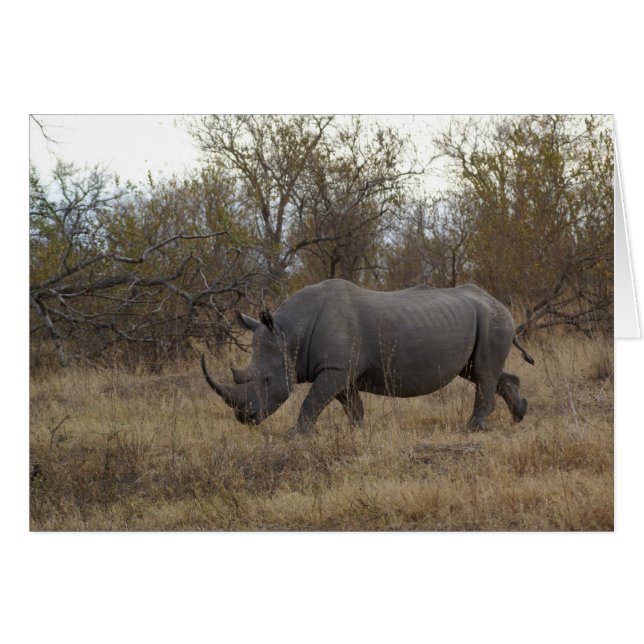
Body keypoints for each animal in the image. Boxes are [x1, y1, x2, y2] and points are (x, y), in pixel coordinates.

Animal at [201, 279, 534, 434]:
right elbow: (351, 405)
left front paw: (295, 436)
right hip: (481, 319)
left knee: (484, 372)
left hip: (492, 318)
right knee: (479, 371)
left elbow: (311, 403)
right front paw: (357, 432)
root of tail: (497, 301)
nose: (245, 418)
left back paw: (473, 428)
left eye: (267, 380)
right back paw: (520, 414)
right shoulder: (339, 369)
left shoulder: (335, 369)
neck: (290, 331)